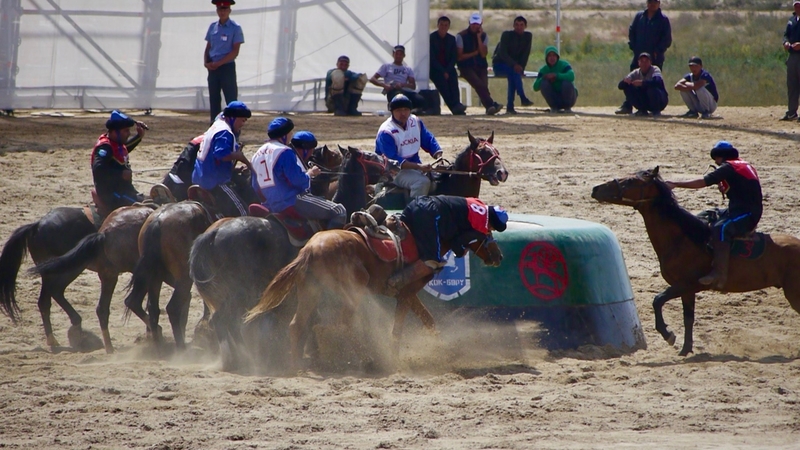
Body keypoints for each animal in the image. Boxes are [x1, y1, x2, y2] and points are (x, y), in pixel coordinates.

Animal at [191, 146, 396, 370]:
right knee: (223, 320)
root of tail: (213, 233)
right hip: (238, 289)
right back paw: (240, 358)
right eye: (370, 156)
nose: (394, 165)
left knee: (226, 322)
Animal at [244, 230, 504, 370]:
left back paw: (296, 365)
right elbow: (398, 328)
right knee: (341, 324)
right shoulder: (406, 293)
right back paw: (368, 360)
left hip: (310, 292)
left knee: (298, 325)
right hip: (353, 290)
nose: (498, 255)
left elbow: (428, 320)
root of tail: (309, 249)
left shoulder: (407, 294)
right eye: (486, 232)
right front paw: (395, 358)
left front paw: (443, 350)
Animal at [592, 167, 800, 356]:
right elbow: (688, 318)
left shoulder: (685, 284)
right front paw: (685, 349)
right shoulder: (687, 291)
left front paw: (668, 335)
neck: (682, 239)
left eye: (630, 181)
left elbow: (657, 300)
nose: (595, 189)